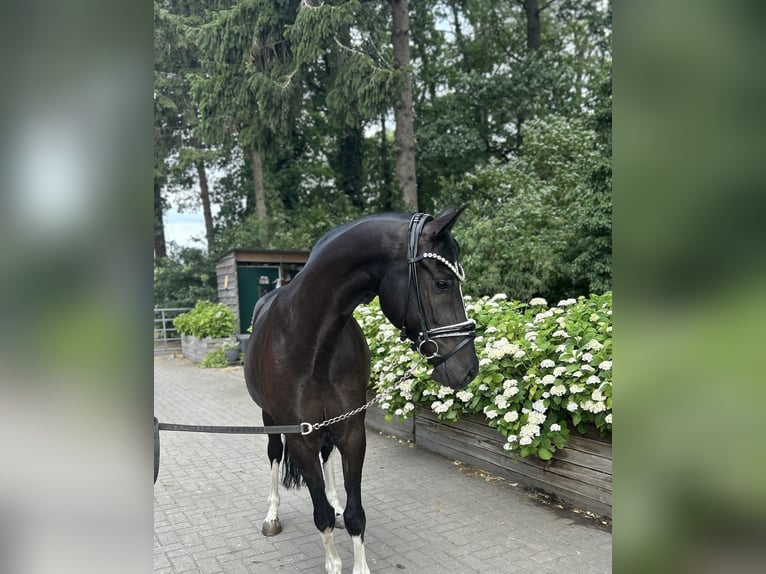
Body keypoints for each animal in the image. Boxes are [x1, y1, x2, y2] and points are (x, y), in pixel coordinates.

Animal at [244, 208, 479, 574]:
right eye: (442, 283)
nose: (468, 368)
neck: (311, 342)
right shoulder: (300, 438)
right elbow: (320, 515)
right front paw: (333, 562)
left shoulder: (352, 430)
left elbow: (355, 514)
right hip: (270, 418)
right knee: (274, 455)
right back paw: (272, 515)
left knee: (328, 458)